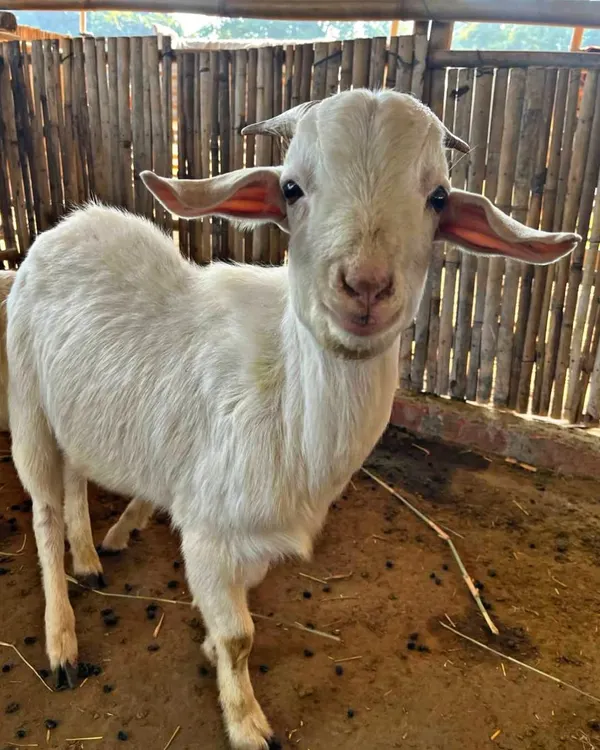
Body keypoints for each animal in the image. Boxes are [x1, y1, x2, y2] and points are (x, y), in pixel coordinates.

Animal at [6, 89, 577, 749]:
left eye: (437, 197)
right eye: (291, 188)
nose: (365, 286)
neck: (289, 404)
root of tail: (68, 224)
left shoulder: (254, 538)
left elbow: (235, 617)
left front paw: (209, 649)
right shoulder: (208, 533)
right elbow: (240, 636)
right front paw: (248, 723)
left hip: (77, 412)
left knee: (76, 477)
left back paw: (92, 558)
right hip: (28, 402)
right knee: (44, 511)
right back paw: (63, 644)